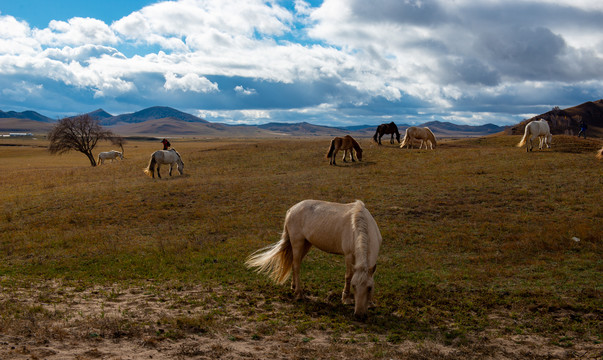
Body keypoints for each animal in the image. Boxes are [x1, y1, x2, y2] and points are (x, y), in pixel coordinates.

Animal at [247, 198, 382, 320]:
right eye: (354, 286)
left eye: (369, 288)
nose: (359, 315)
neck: (359, 224)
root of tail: (291, 210)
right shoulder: (348, 255)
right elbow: (348, 276)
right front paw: (346, 299)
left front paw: (370, 303)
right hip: (297, 242)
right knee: (296, 265)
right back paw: (299, 294)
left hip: (306, 244)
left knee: (295, 263)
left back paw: (294, 286)